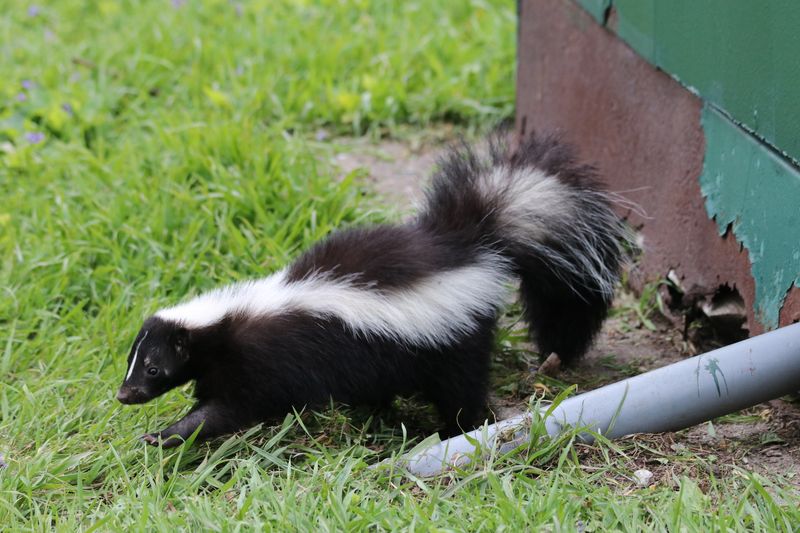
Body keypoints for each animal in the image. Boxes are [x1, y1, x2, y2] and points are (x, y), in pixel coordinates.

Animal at [117, 133, 632, 444]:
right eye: (132, 361)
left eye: (154, 368)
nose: (124, 395)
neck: (231, 320)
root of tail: (468, 243)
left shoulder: (262, 364)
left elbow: (230, 410)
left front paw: (167, 435)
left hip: (454, 341)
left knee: (461, 389)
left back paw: (462, 429)